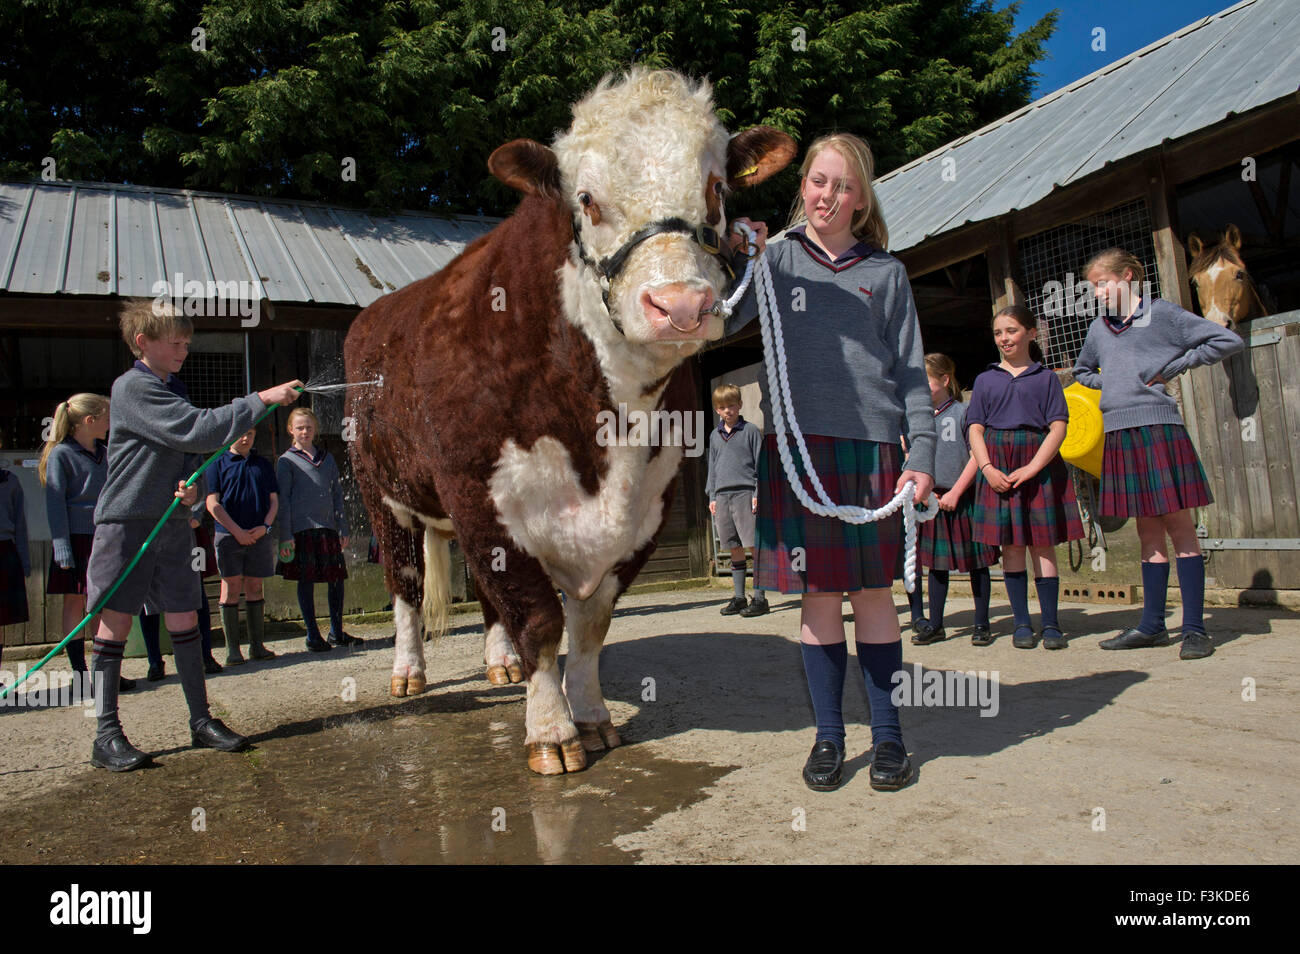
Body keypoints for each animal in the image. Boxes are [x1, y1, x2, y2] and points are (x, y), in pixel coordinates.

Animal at [345, 67, 790, 774]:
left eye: (717, 188)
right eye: (586, 198)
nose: (679, 305)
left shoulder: (647, 507)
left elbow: (588, 626)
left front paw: (592, 716)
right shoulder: (481, 496)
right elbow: (536, 619)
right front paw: (552, 733)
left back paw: (500, 666)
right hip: (385, 495)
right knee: (407, 585)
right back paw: (408, 672)